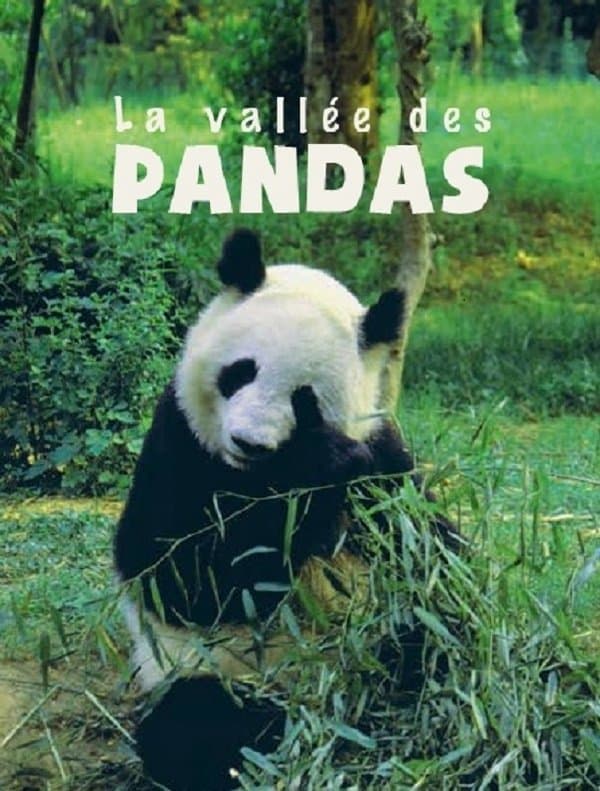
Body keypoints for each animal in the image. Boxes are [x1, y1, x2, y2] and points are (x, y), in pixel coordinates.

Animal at [114, 229, 456, 791]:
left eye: (304, 398)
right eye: (241, 371)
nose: (247, 442)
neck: (258, 477)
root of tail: (330, 705)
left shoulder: (381, 457)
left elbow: (429, 552)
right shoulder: (180, 443)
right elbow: (178, 575)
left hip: (377, 632)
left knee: (430, 636)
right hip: (213, 670)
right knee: (194, 725)